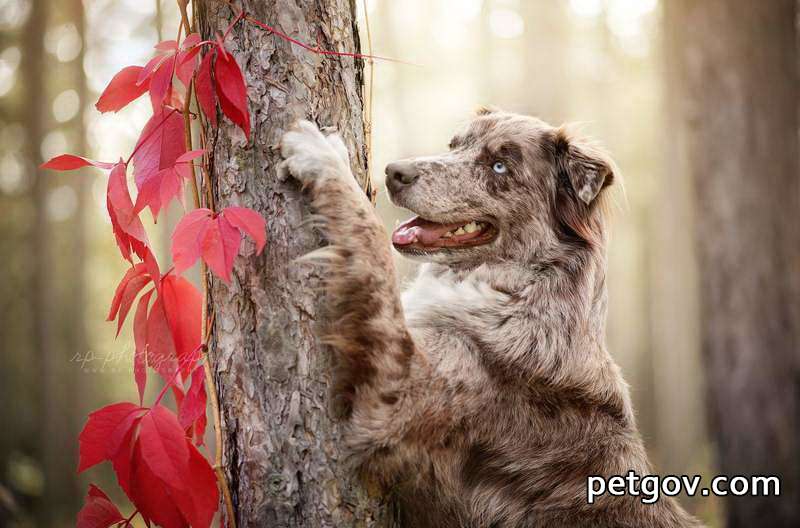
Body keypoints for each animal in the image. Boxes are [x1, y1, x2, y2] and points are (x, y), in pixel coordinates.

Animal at [280, 109, 700, 524]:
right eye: (454, 145)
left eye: (499, 166)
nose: (394, 172)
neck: (518, 290)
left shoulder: (394, 392)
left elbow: (373, 243)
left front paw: (323, 157)